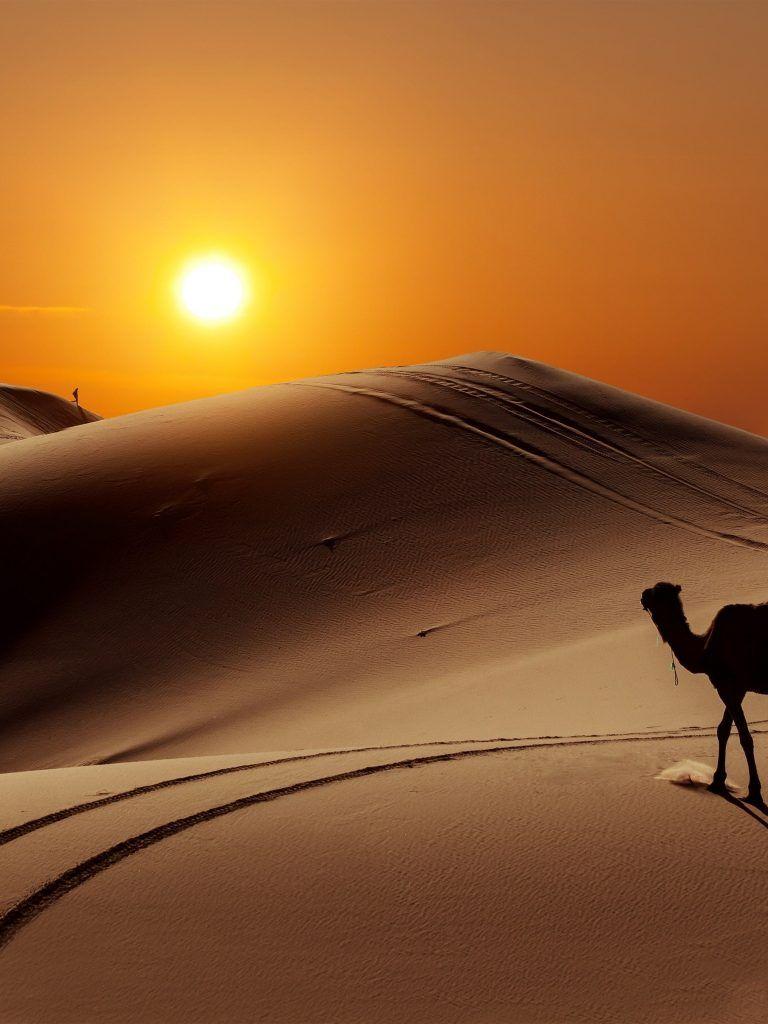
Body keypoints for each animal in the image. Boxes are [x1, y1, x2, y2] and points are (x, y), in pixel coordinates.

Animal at [641, 581, 768, 809]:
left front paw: (754, 793)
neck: (705, 649)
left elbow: (744, 737)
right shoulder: (732, 687)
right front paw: (717, 781)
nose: (643, 595)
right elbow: (723, 730)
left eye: (656, 593)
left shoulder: (732, 684)